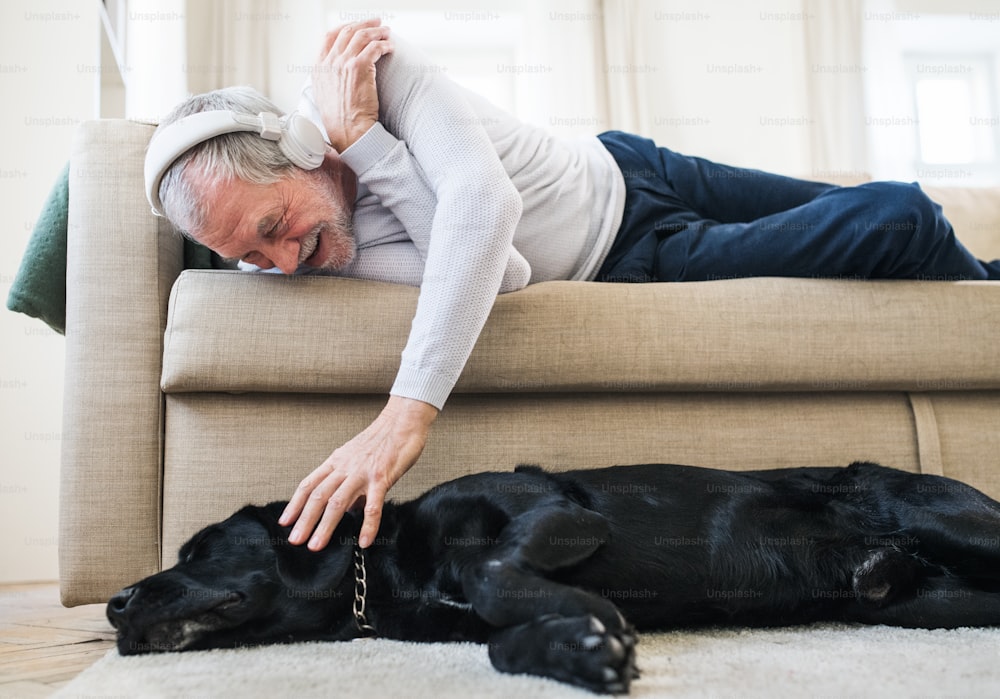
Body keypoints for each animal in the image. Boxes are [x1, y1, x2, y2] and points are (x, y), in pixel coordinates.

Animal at [105, 464, 1000, 696]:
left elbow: (494, 571)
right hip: (930, 604)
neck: (387, 570)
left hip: (954, 526)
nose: (115, 603)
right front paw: (582, 649)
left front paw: (595, 619)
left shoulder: (554, 508)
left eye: (200, 548)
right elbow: (502, 645)